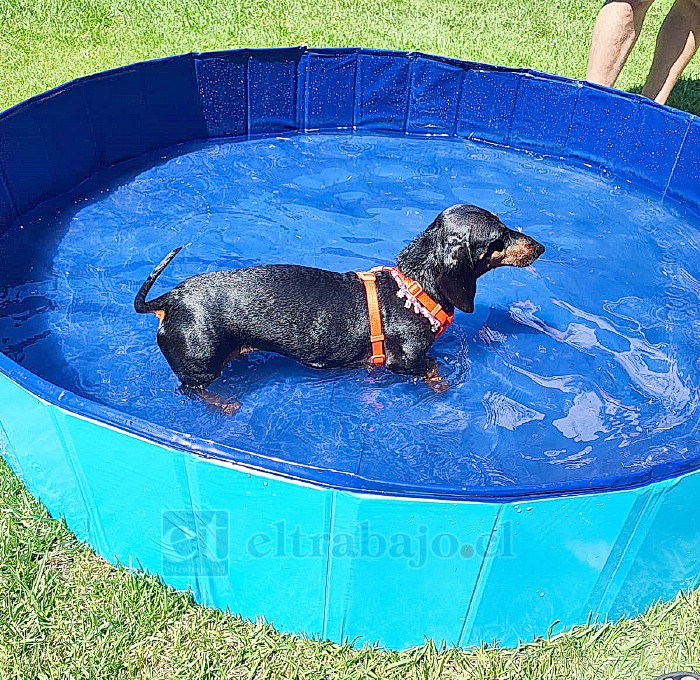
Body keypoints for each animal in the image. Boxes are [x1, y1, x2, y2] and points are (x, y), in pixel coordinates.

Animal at [134, 203, 544, 410]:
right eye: (498, 237)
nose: (540, 247)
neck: (415, 287)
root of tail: (168, 300)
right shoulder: (404, 362)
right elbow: (431, 368)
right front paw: (441, 385)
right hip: (201, 368)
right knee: (190, 390)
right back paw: (223, 404)